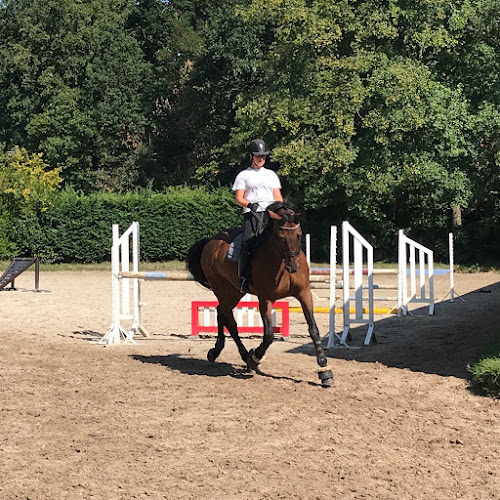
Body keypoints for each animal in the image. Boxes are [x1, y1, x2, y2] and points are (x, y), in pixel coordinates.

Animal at [189, 201, 334, 388]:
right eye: (280, 237)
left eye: (299, 235)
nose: (294, 266)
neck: (281, 264)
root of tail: (211, 242)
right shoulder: (265, 299)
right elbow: (269, 335)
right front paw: (255, 358)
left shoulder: (304, 294)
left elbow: (313, 329)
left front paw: (325, 370)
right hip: (223, 289)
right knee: (229, 319)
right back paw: (244, 356)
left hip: (234, 292)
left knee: (222, 313)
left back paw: (218, 351)